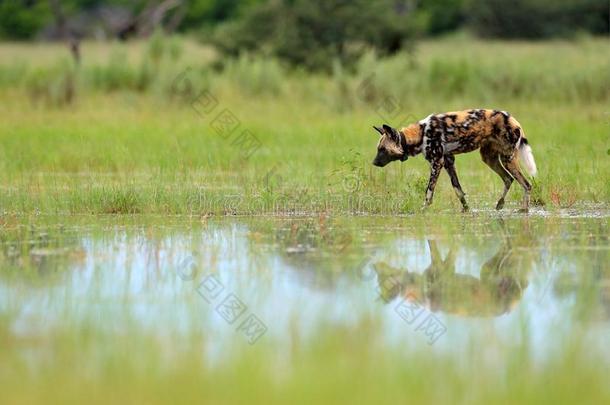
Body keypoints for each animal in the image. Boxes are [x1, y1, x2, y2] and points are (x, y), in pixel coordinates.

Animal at [370, 109, 536, 213]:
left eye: (382, 149)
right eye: (378, 148)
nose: (374, 163)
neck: (420, 135)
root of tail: (513, 119)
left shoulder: (437, 163)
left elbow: (429, 192)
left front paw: (423, 210)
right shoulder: (449, 162)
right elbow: (459, 191)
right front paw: (466, 210)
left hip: (508, 159)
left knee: (526, 184)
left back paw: (524, 210)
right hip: (489, 158)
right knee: (509, 179)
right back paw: (500, 204)